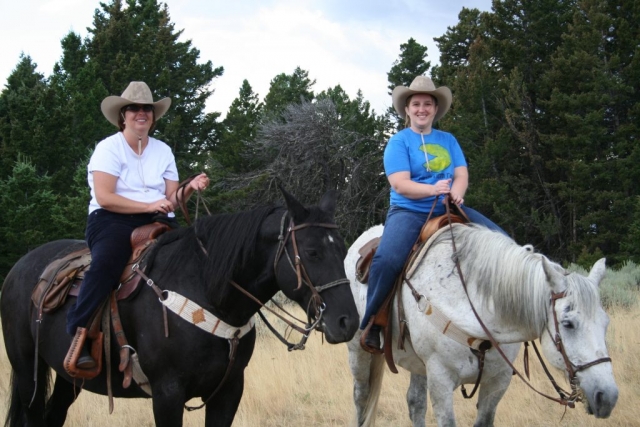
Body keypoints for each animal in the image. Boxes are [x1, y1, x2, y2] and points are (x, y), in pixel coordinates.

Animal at [1, 188, 359, 427]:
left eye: (342, 248)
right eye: (312, 252)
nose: (348, 322)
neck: (208, 291)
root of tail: (18, 269)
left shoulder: (229, 391)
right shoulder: (167, 395)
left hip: (67, 377)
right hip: (28, 374)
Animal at [345, 224, 618, 427]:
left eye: (606, 324)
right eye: (568, 323)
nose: (608, 397)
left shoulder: (497, 382)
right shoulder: (441, 380)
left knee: (415, 403)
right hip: (359, 352)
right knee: (361, 398)